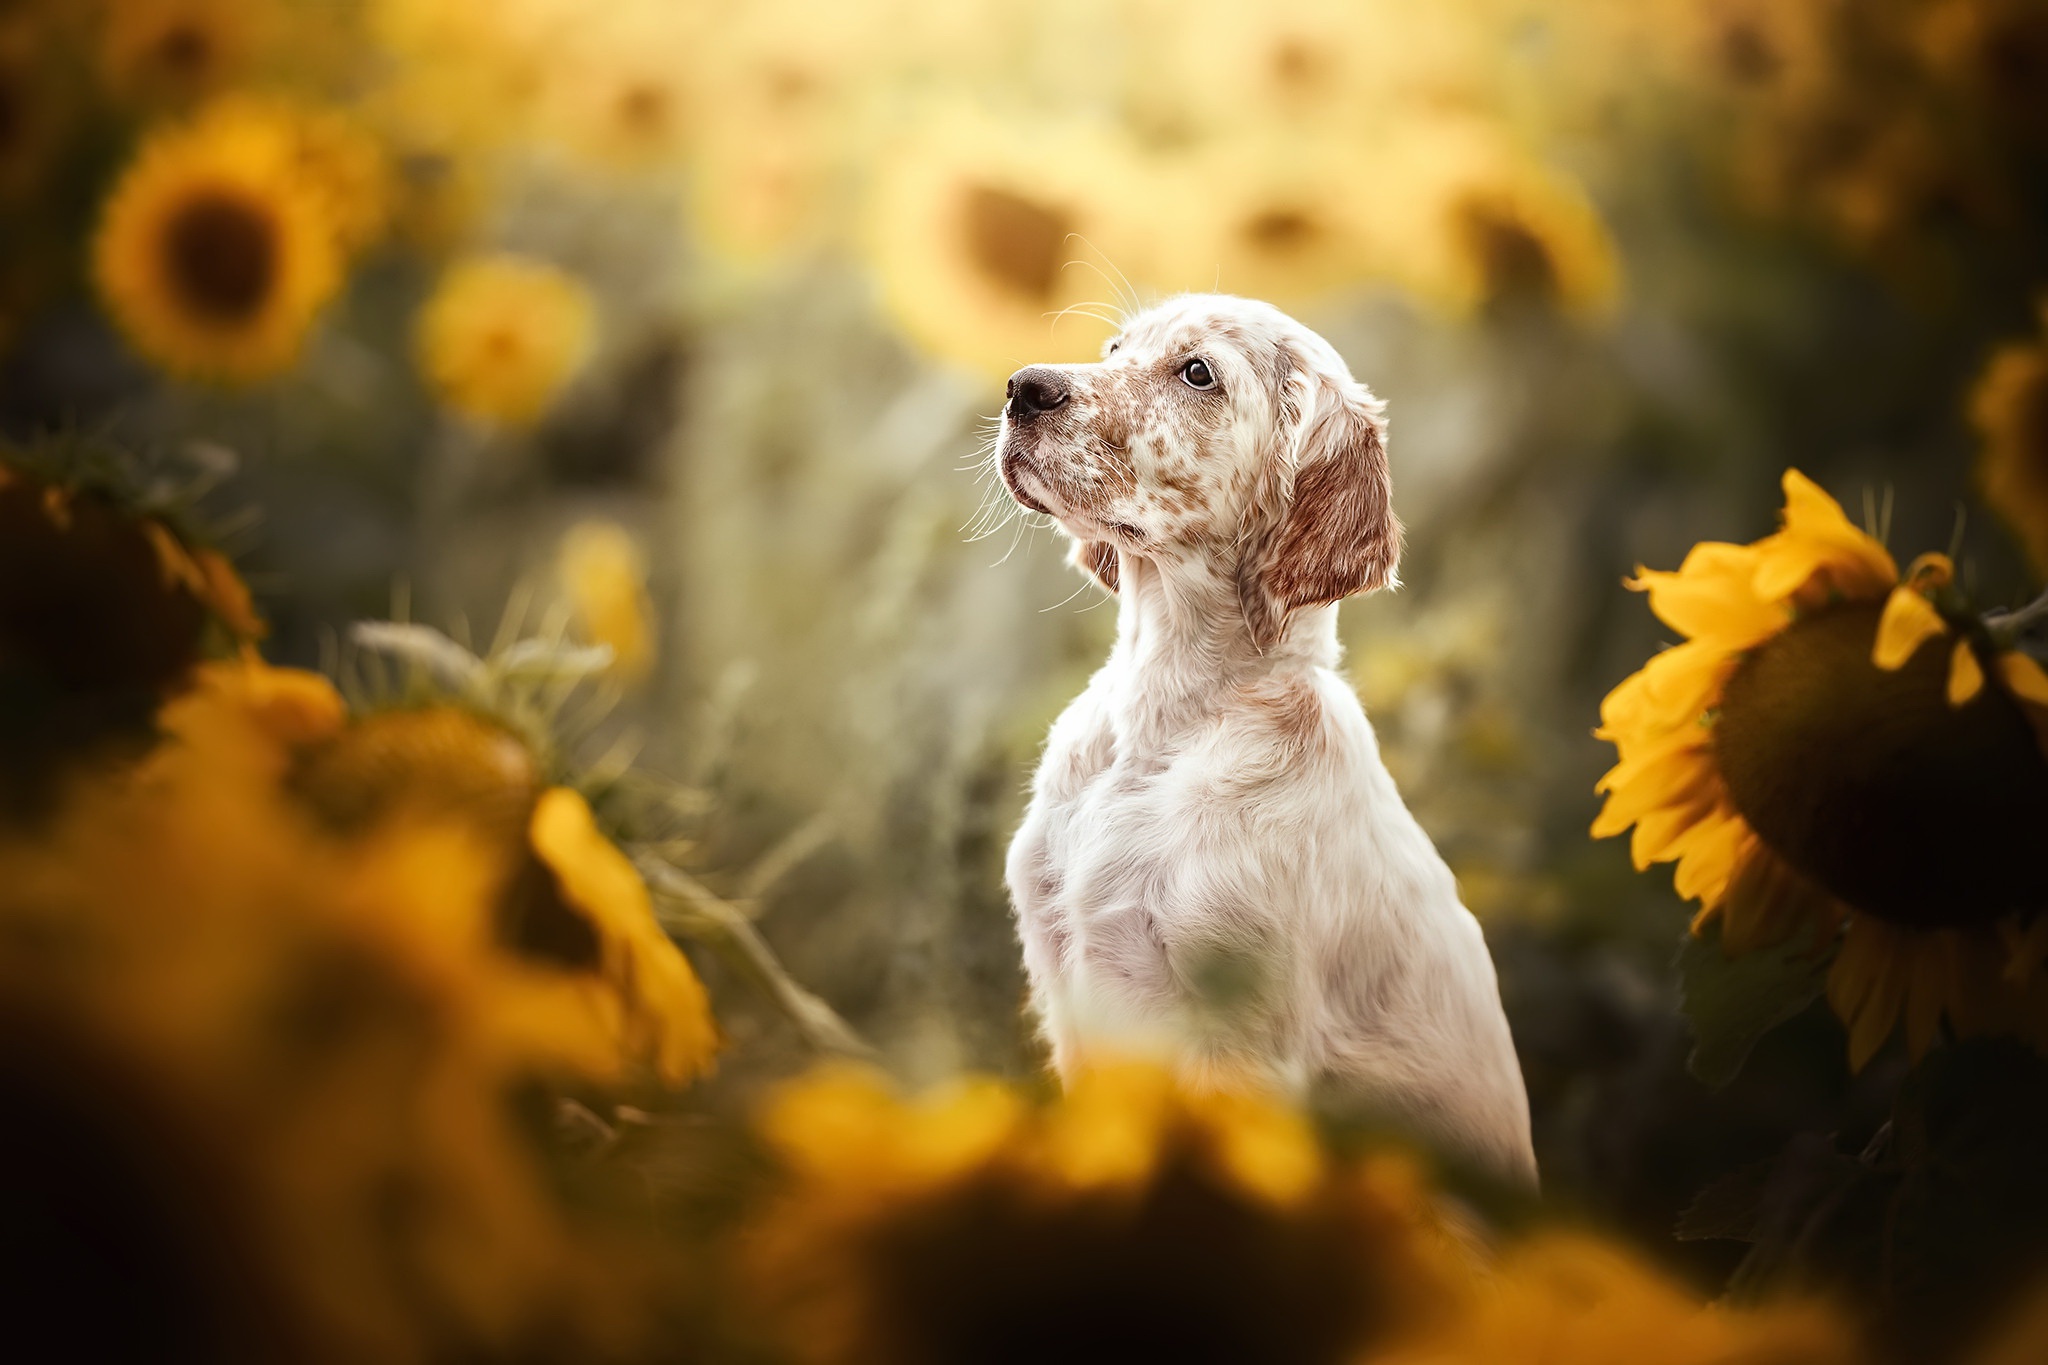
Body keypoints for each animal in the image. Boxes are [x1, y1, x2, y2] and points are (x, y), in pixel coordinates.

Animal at [991, 290, 1540, 1186]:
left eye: (1198, 373)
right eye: (1115, 348)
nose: (1023, 387)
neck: (1163, 726)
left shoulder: (1237, 1041)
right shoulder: (1064, 984)